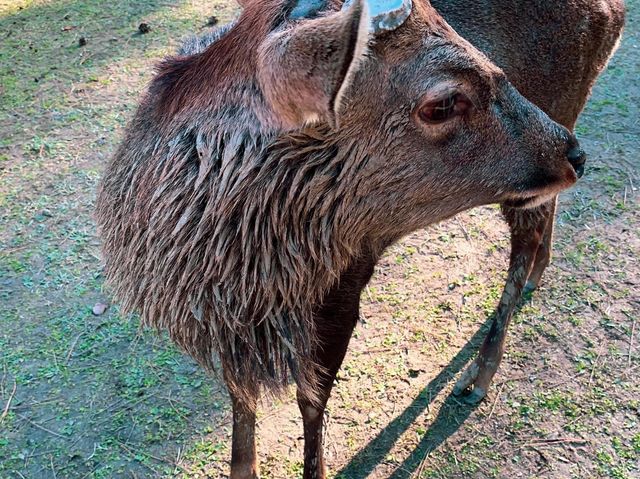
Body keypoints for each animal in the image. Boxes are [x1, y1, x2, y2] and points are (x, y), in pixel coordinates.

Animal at [97, 0, 624, 479]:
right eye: (443, 103)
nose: (576, 156)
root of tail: (614, 12)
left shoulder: (342, 286)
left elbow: (312, 401)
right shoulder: (228, 328)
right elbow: (240, 399)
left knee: (522, 246)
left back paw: (478, 376)